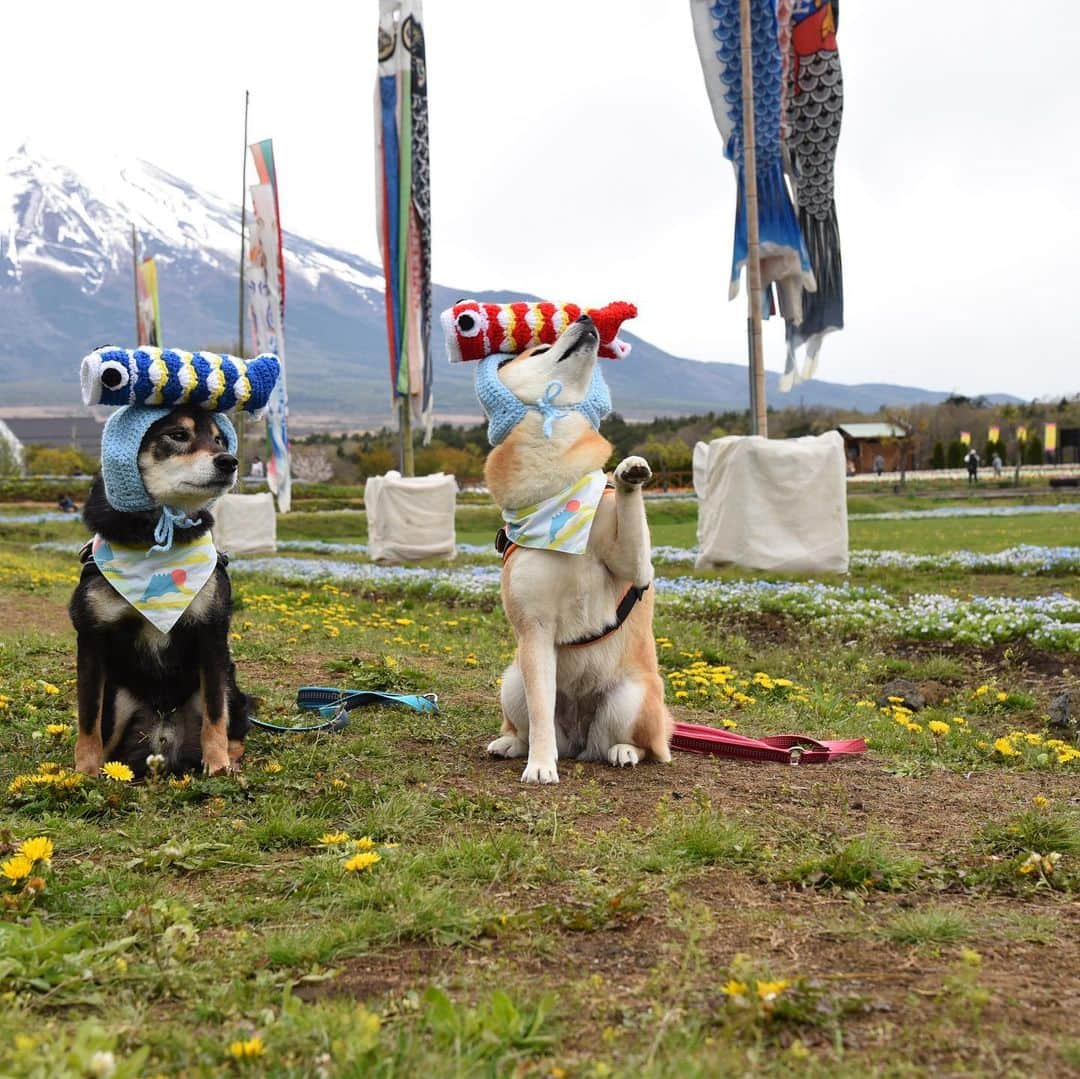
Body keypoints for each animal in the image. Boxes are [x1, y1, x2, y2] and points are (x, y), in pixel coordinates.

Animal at [69, 406, 250, 777]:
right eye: (178, 435)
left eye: (219, 440)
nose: (229, 461)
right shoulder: (91, 637)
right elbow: (88, 717)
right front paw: (83, 773)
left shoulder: (211, 633)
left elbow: (215, 713)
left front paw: (217, 765)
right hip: (119, 698)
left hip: (231, 686)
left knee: (232, 724)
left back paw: (230, 761)